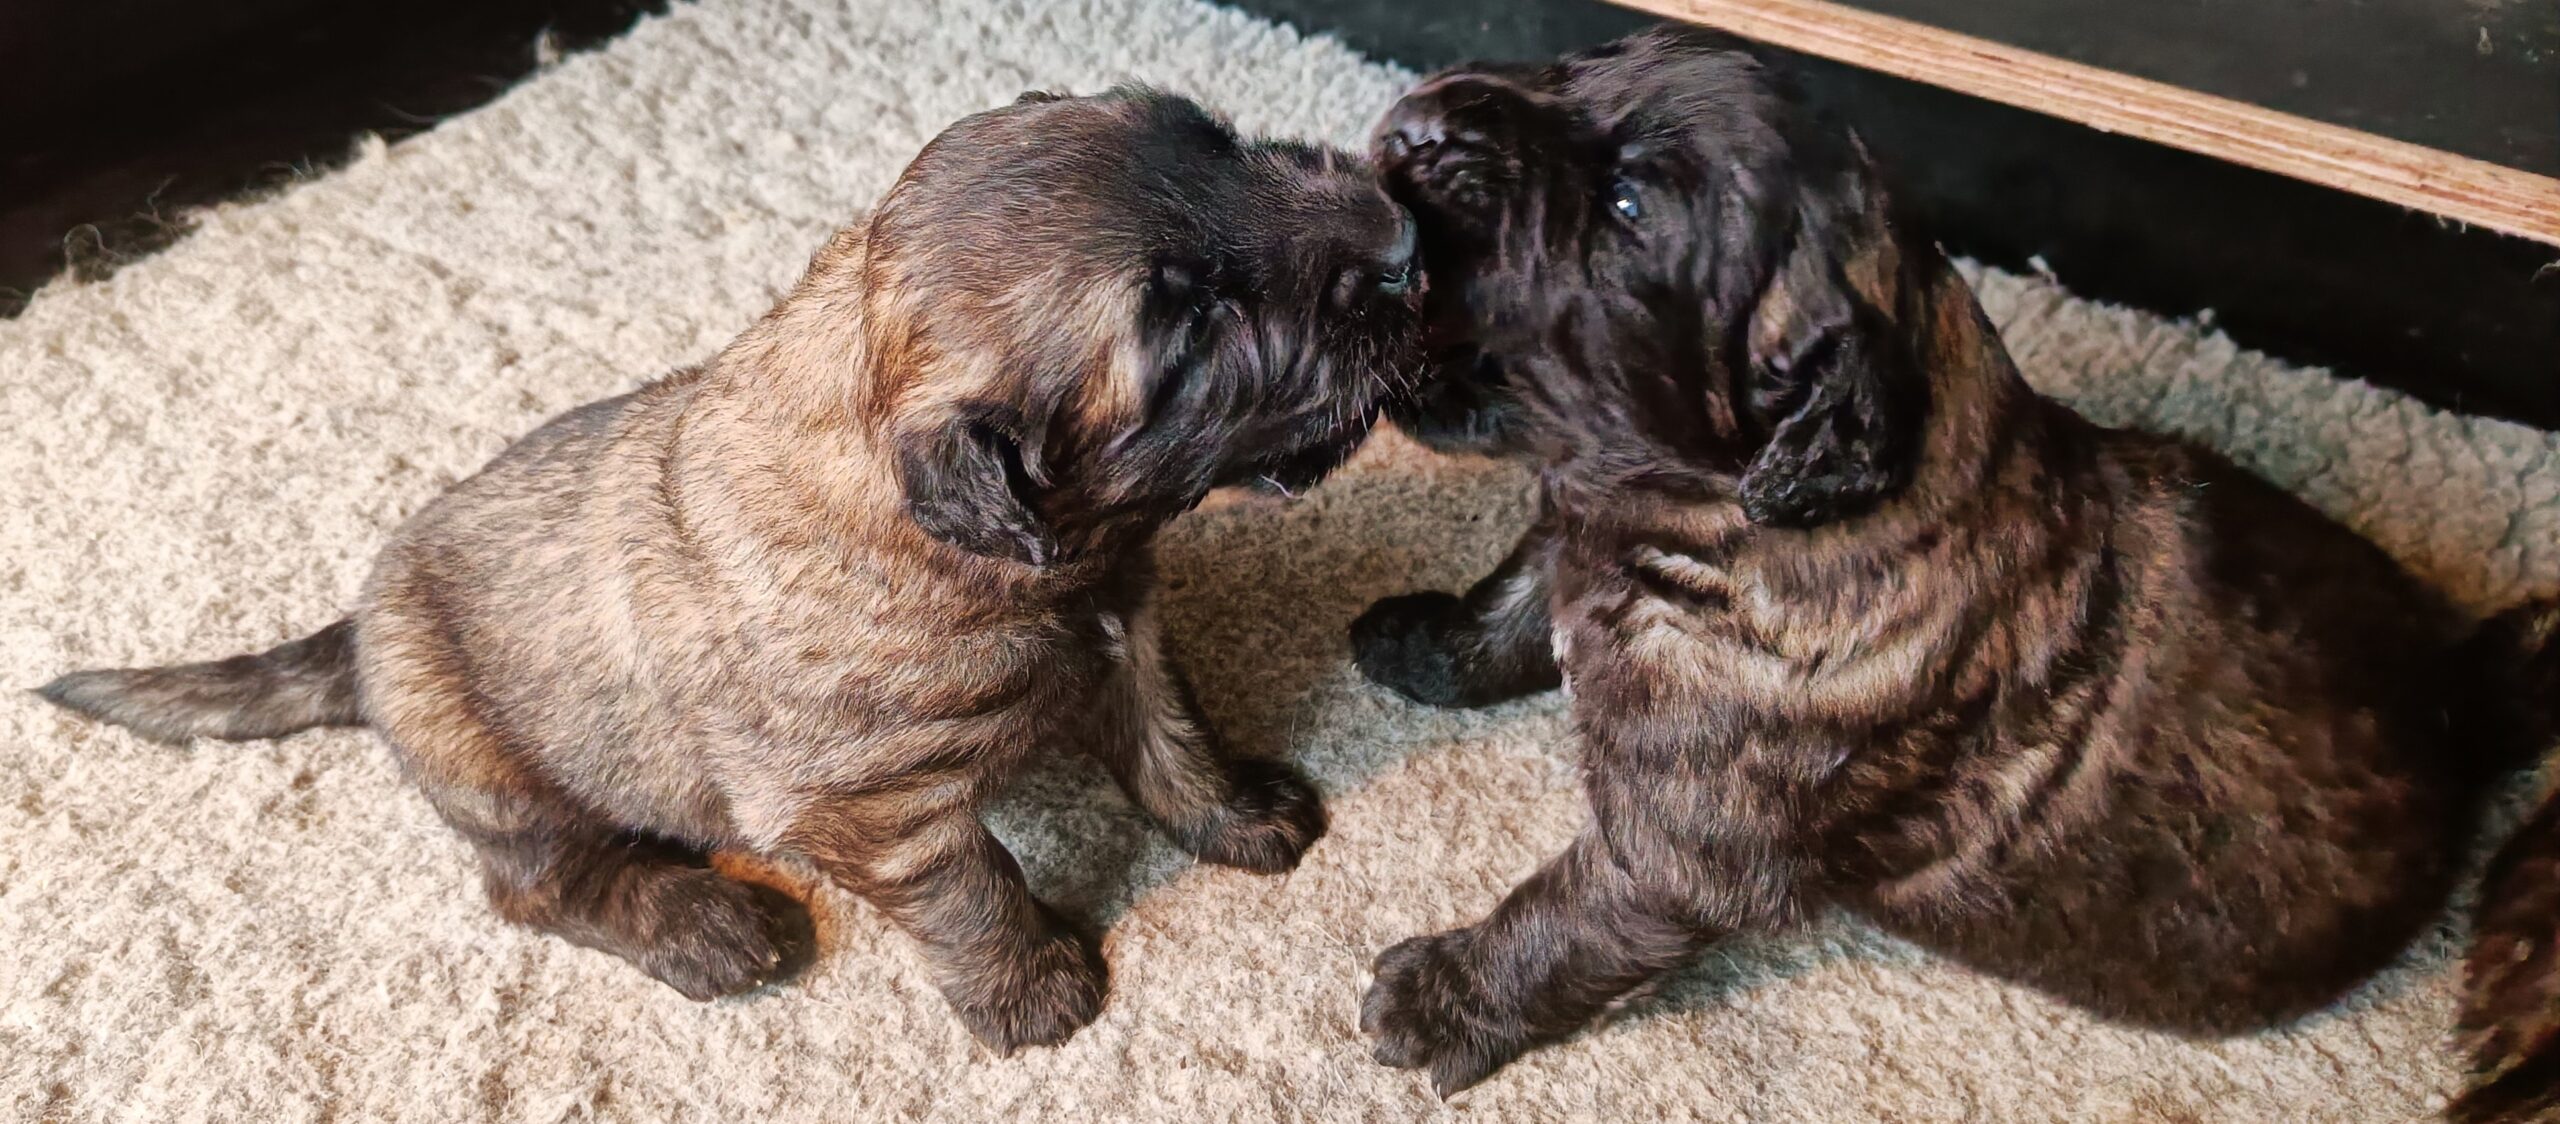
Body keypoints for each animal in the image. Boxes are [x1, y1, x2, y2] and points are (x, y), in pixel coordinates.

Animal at [37, 87, 1426, 1053]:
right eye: (1188, 327)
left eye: (1218, 138)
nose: (1404, 239)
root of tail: (359, 622)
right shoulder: (869, 806)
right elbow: (972, 883)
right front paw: (1030, 987)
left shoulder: (1125, 626)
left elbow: (1169, 734)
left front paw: (1237, 811)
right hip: (496, 768)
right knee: (538, 883)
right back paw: (706, 923)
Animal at [1347, 27, 2560, 1098]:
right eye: (1572, 65)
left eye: (1629, 207)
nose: (1414, 125)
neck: (1734, 519)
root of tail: (2461, 709)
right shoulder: (1583, 526)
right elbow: (1520, 588)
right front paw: (1425, 642)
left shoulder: (1681, 845)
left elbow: (1568, 916)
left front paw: (1443, 998)